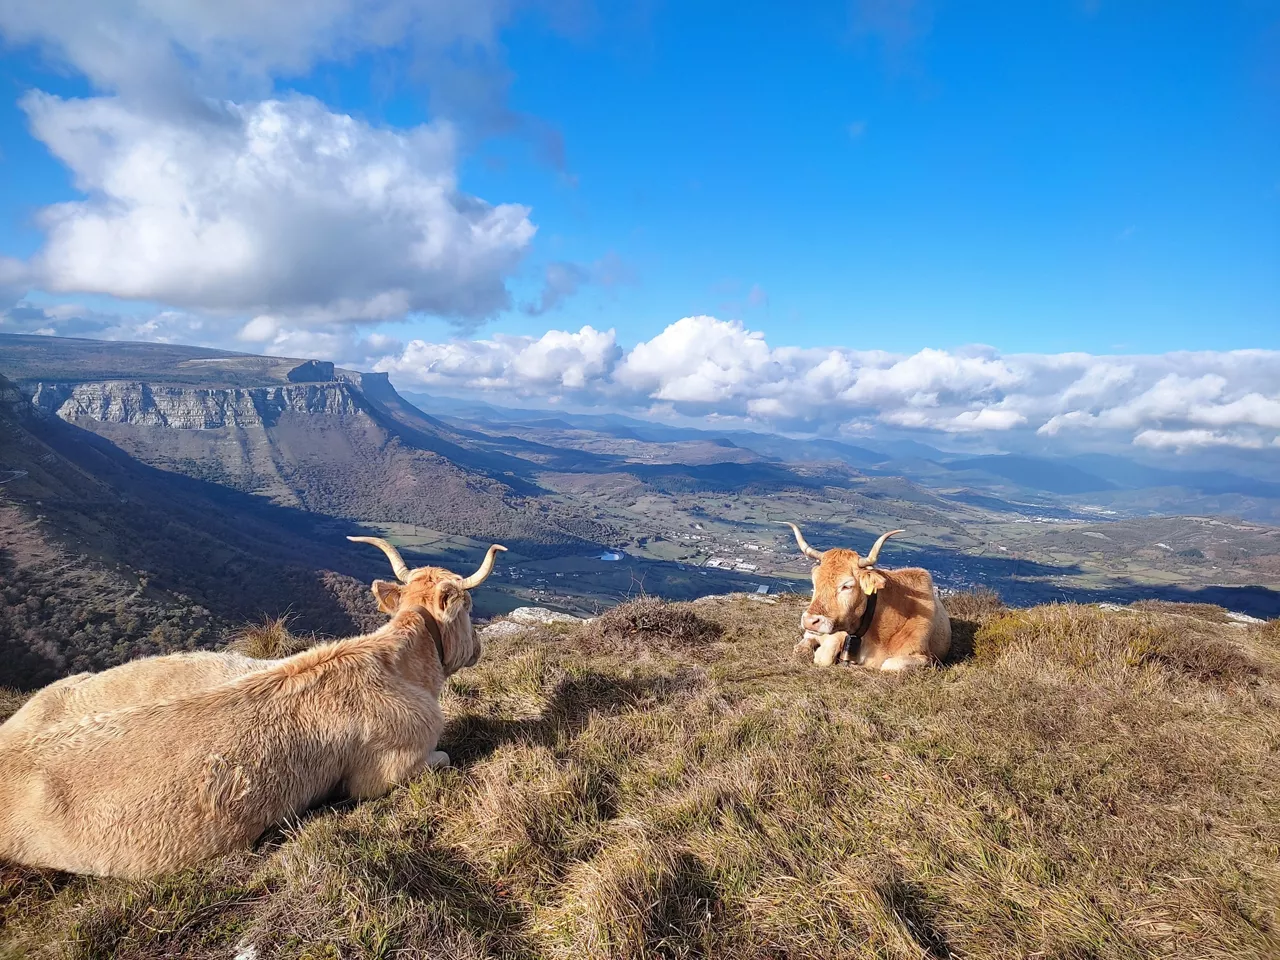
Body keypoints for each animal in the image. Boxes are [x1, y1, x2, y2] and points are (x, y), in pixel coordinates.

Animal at [779, 522, 950, 671]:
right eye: (815, 583)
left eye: (847, 586)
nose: (810, 620)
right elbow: (823, 657)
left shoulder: (924, 657)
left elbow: (889, 665)